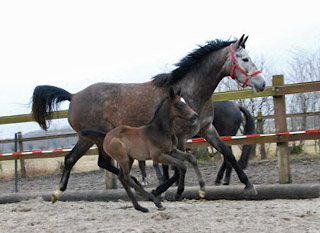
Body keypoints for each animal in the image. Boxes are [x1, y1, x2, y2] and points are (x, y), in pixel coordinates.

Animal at [31, 35, 264, 202]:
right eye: (245, 59)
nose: (261, 83)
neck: (191, 91)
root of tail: (74, 96)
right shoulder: (179, 137)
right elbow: (177, 166)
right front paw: (166, 190)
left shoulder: (206, 129)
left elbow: (227, 154)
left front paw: (249, 186)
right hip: (96, 137)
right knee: (97, 161)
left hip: (87, 138)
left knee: (75, 159)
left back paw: (58, 192)